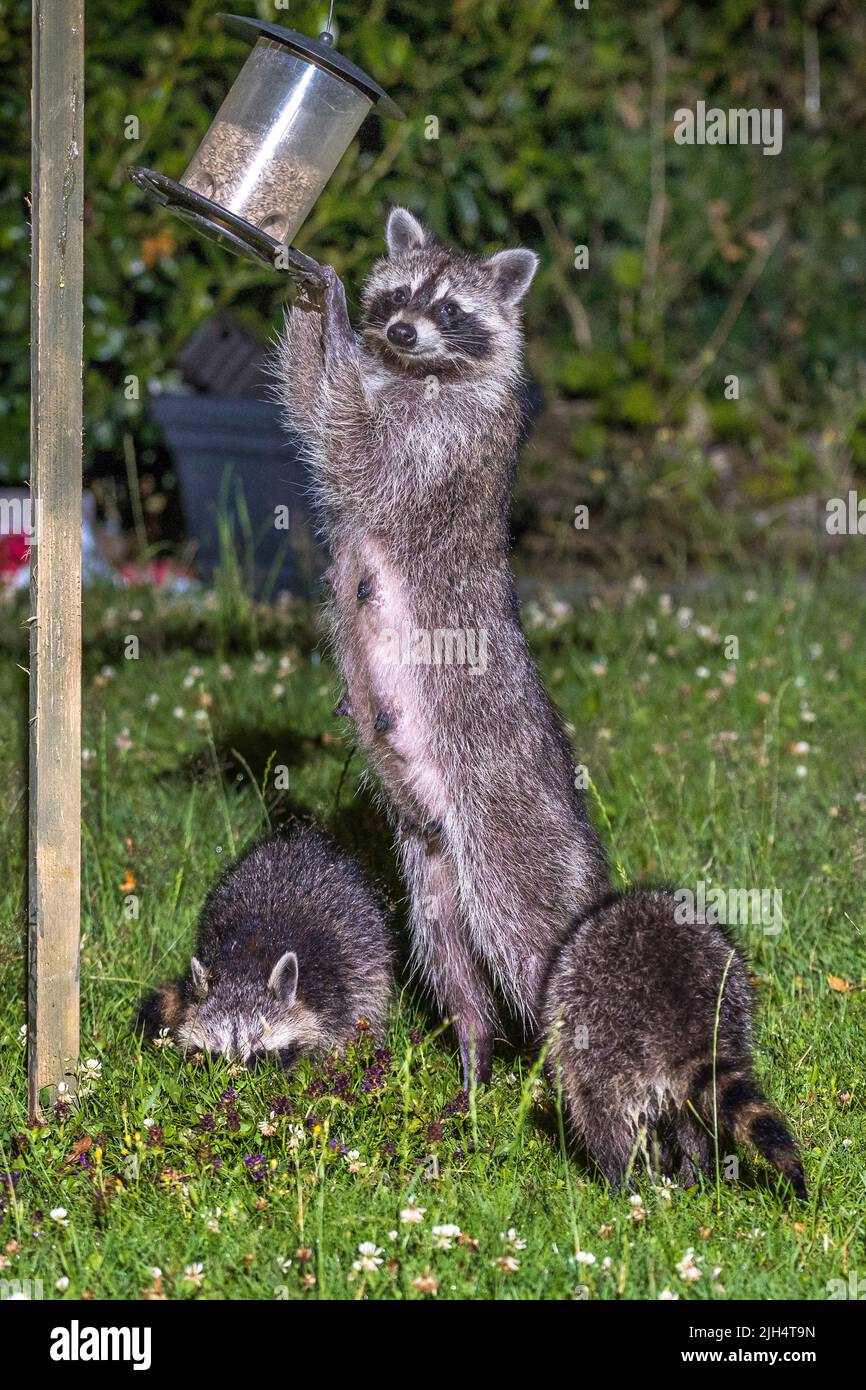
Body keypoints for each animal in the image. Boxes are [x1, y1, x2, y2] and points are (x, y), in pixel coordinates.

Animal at [280, 211, 606, 1089]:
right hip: (427, 857)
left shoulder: (444, 445)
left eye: (449, 309)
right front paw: (306, 305)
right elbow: (313, 413)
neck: (415, 371)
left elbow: (353, 447)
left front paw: (324, 313)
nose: (395, 330)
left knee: (527, 931)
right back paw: (472, 1049)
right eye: (400, 294)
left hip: (505, 821)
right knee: (446, 951)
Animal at [542, 889, 806, 1195]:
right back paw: (693, 1171)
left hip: (600, 1044)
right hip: (733, 1000)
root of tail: (681, 1014)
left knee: (601, 1118)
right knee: (696, 1122)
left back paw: (619, 1181)